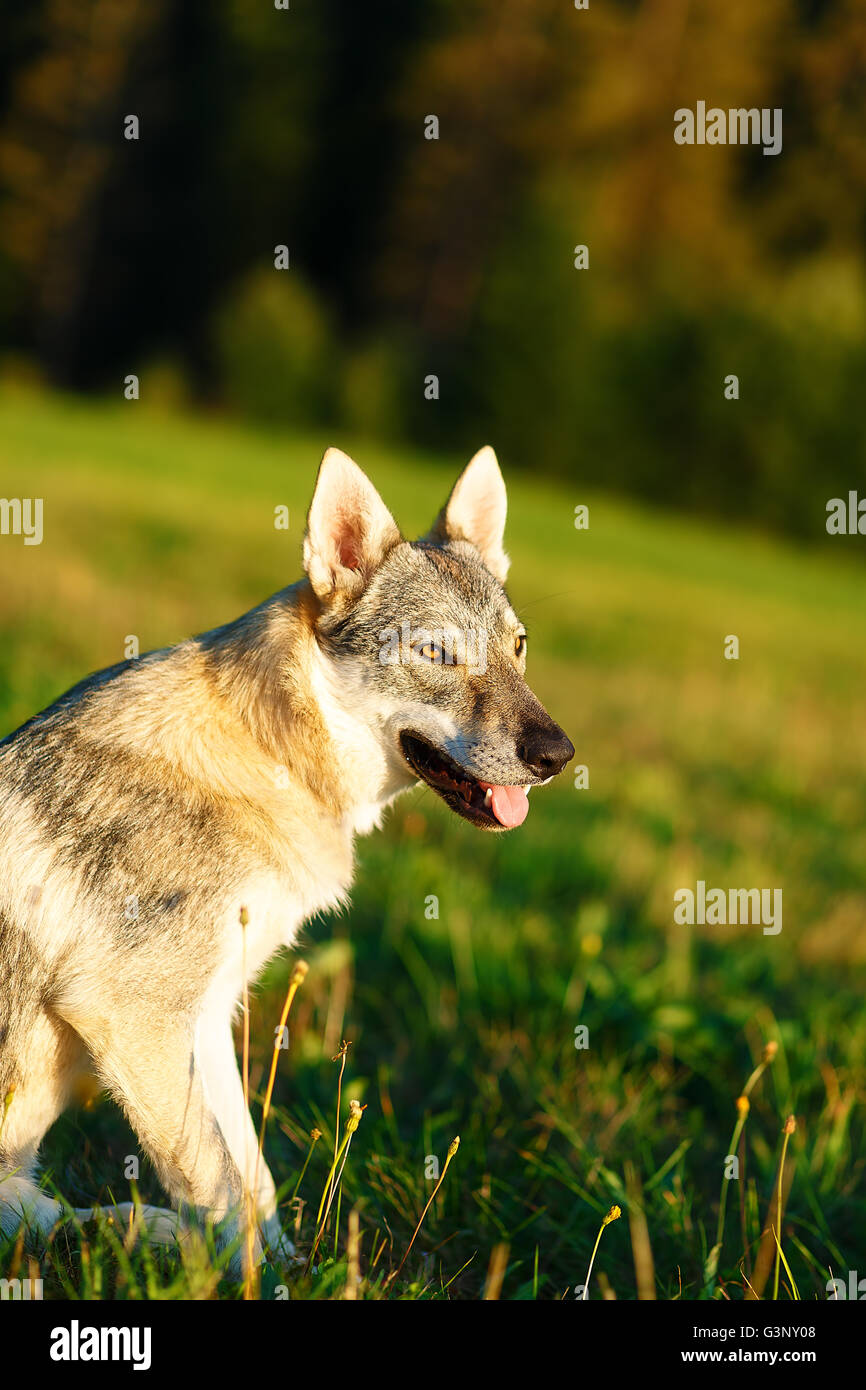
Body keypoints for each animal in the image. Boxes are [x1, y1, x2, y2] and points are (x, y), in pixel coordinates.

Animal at [0, 444, 573, 1273]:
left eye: (519, 646)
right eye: (437, 653)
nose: (558, 755)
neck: (269, 759)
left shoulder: (204, 1015)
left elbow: (253, 1179)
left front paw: (292, 1272)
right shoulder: (132, 1014)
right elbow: (215, 1180)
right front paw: (250, 1283)